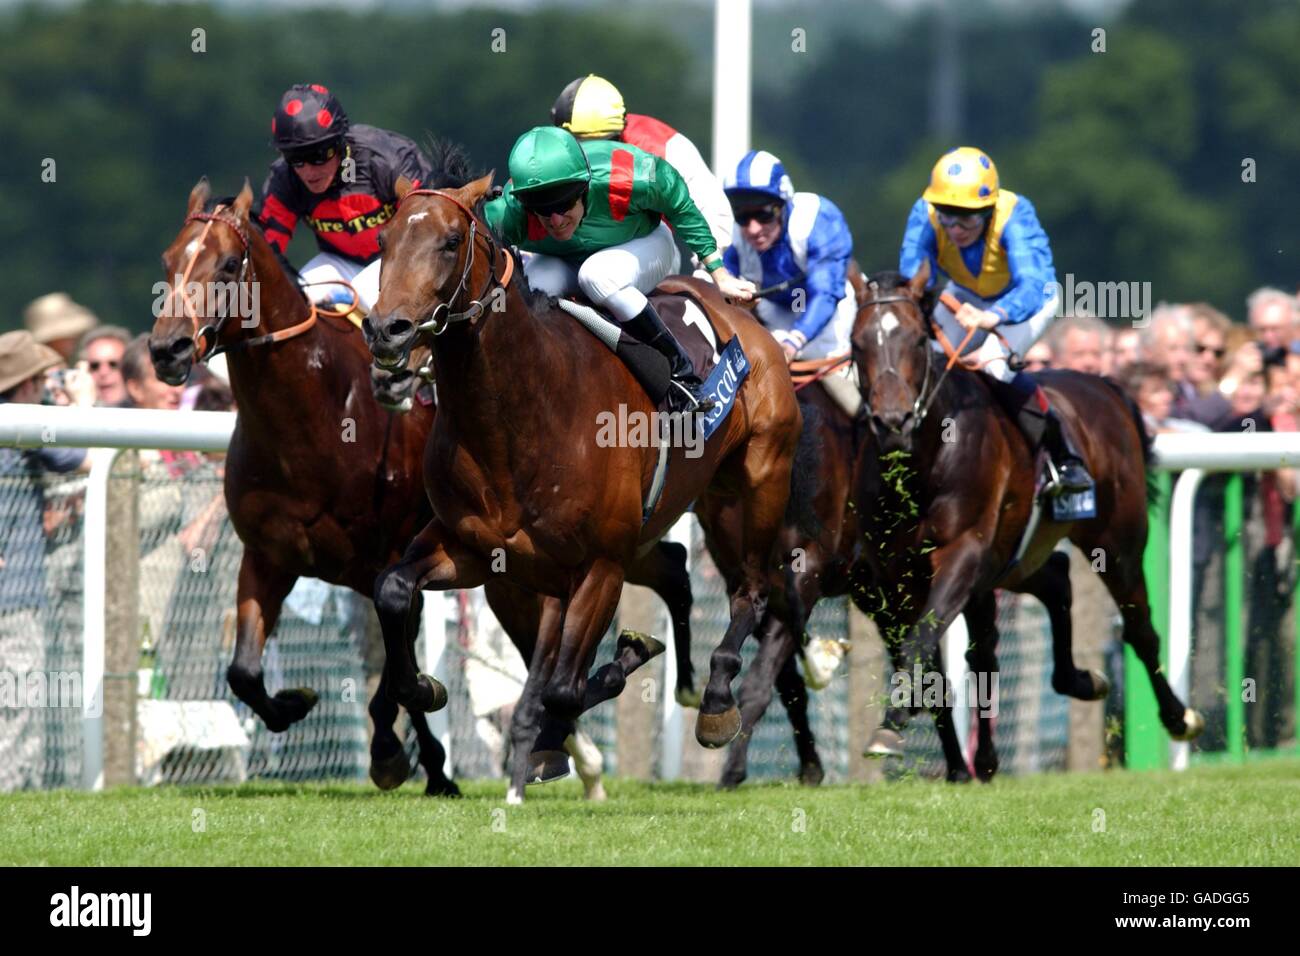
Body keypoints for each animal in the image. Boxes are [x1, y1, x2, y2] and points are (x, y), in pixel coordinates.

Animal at [364, 174, 800, 785]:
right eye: (383, 240)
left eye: (450, 242)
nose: (387, 329)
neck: (519, 417)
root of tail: (740, 317)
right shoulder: (474, 550)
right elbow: (393, 589)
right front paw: (423, 687)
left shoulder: (599, 565)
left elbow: (567, 689)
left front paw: (614, 672)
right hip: (690, 507)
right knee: (676, 568)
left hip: (760, 480)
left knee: (753, 589)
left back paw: (715, 698)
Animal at [847, 265, 1201, 780]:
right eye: (857, 343)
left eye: (915, 339)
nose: (892, 422)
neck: (923, 462)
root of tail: (1106, 386)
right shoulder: (892, 576)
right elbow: (928, 653)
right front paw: (932, 741)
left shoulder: (963, 552)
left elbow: (925, 638)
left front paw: (894, 721)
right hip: (1012, 559)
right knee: (1054, 582)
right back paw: (1072, 685)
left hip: (1116, 542)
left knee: (1139, 628)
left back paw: (1178, 717)